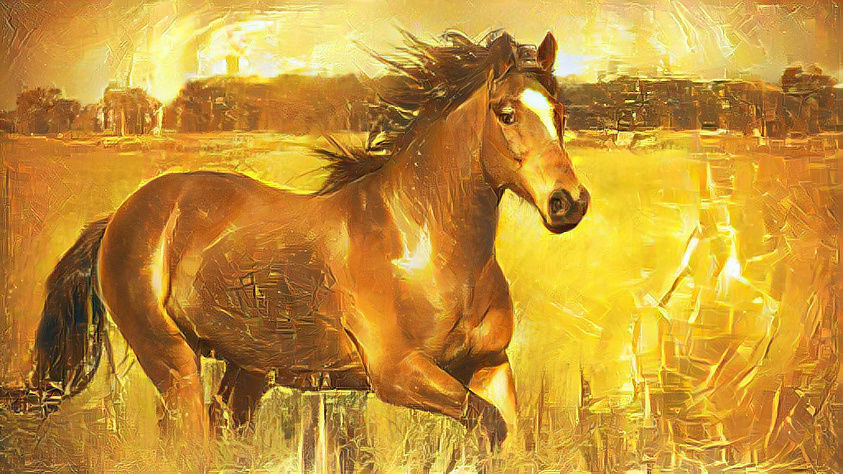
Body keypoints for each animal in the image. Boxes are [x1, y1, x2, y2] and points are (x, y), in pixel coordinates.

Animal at [22, 30, 589, 457]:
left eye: (559, 111)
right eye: (506, 113)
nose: (569, 202)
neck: (427, 246)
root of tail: (121, 215)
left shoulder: (490, 364)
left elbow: (509, 437)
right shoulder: (397, 374)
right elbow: (489, 423)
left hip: (248, 371)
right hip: (172, 360)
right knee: (190, 440)